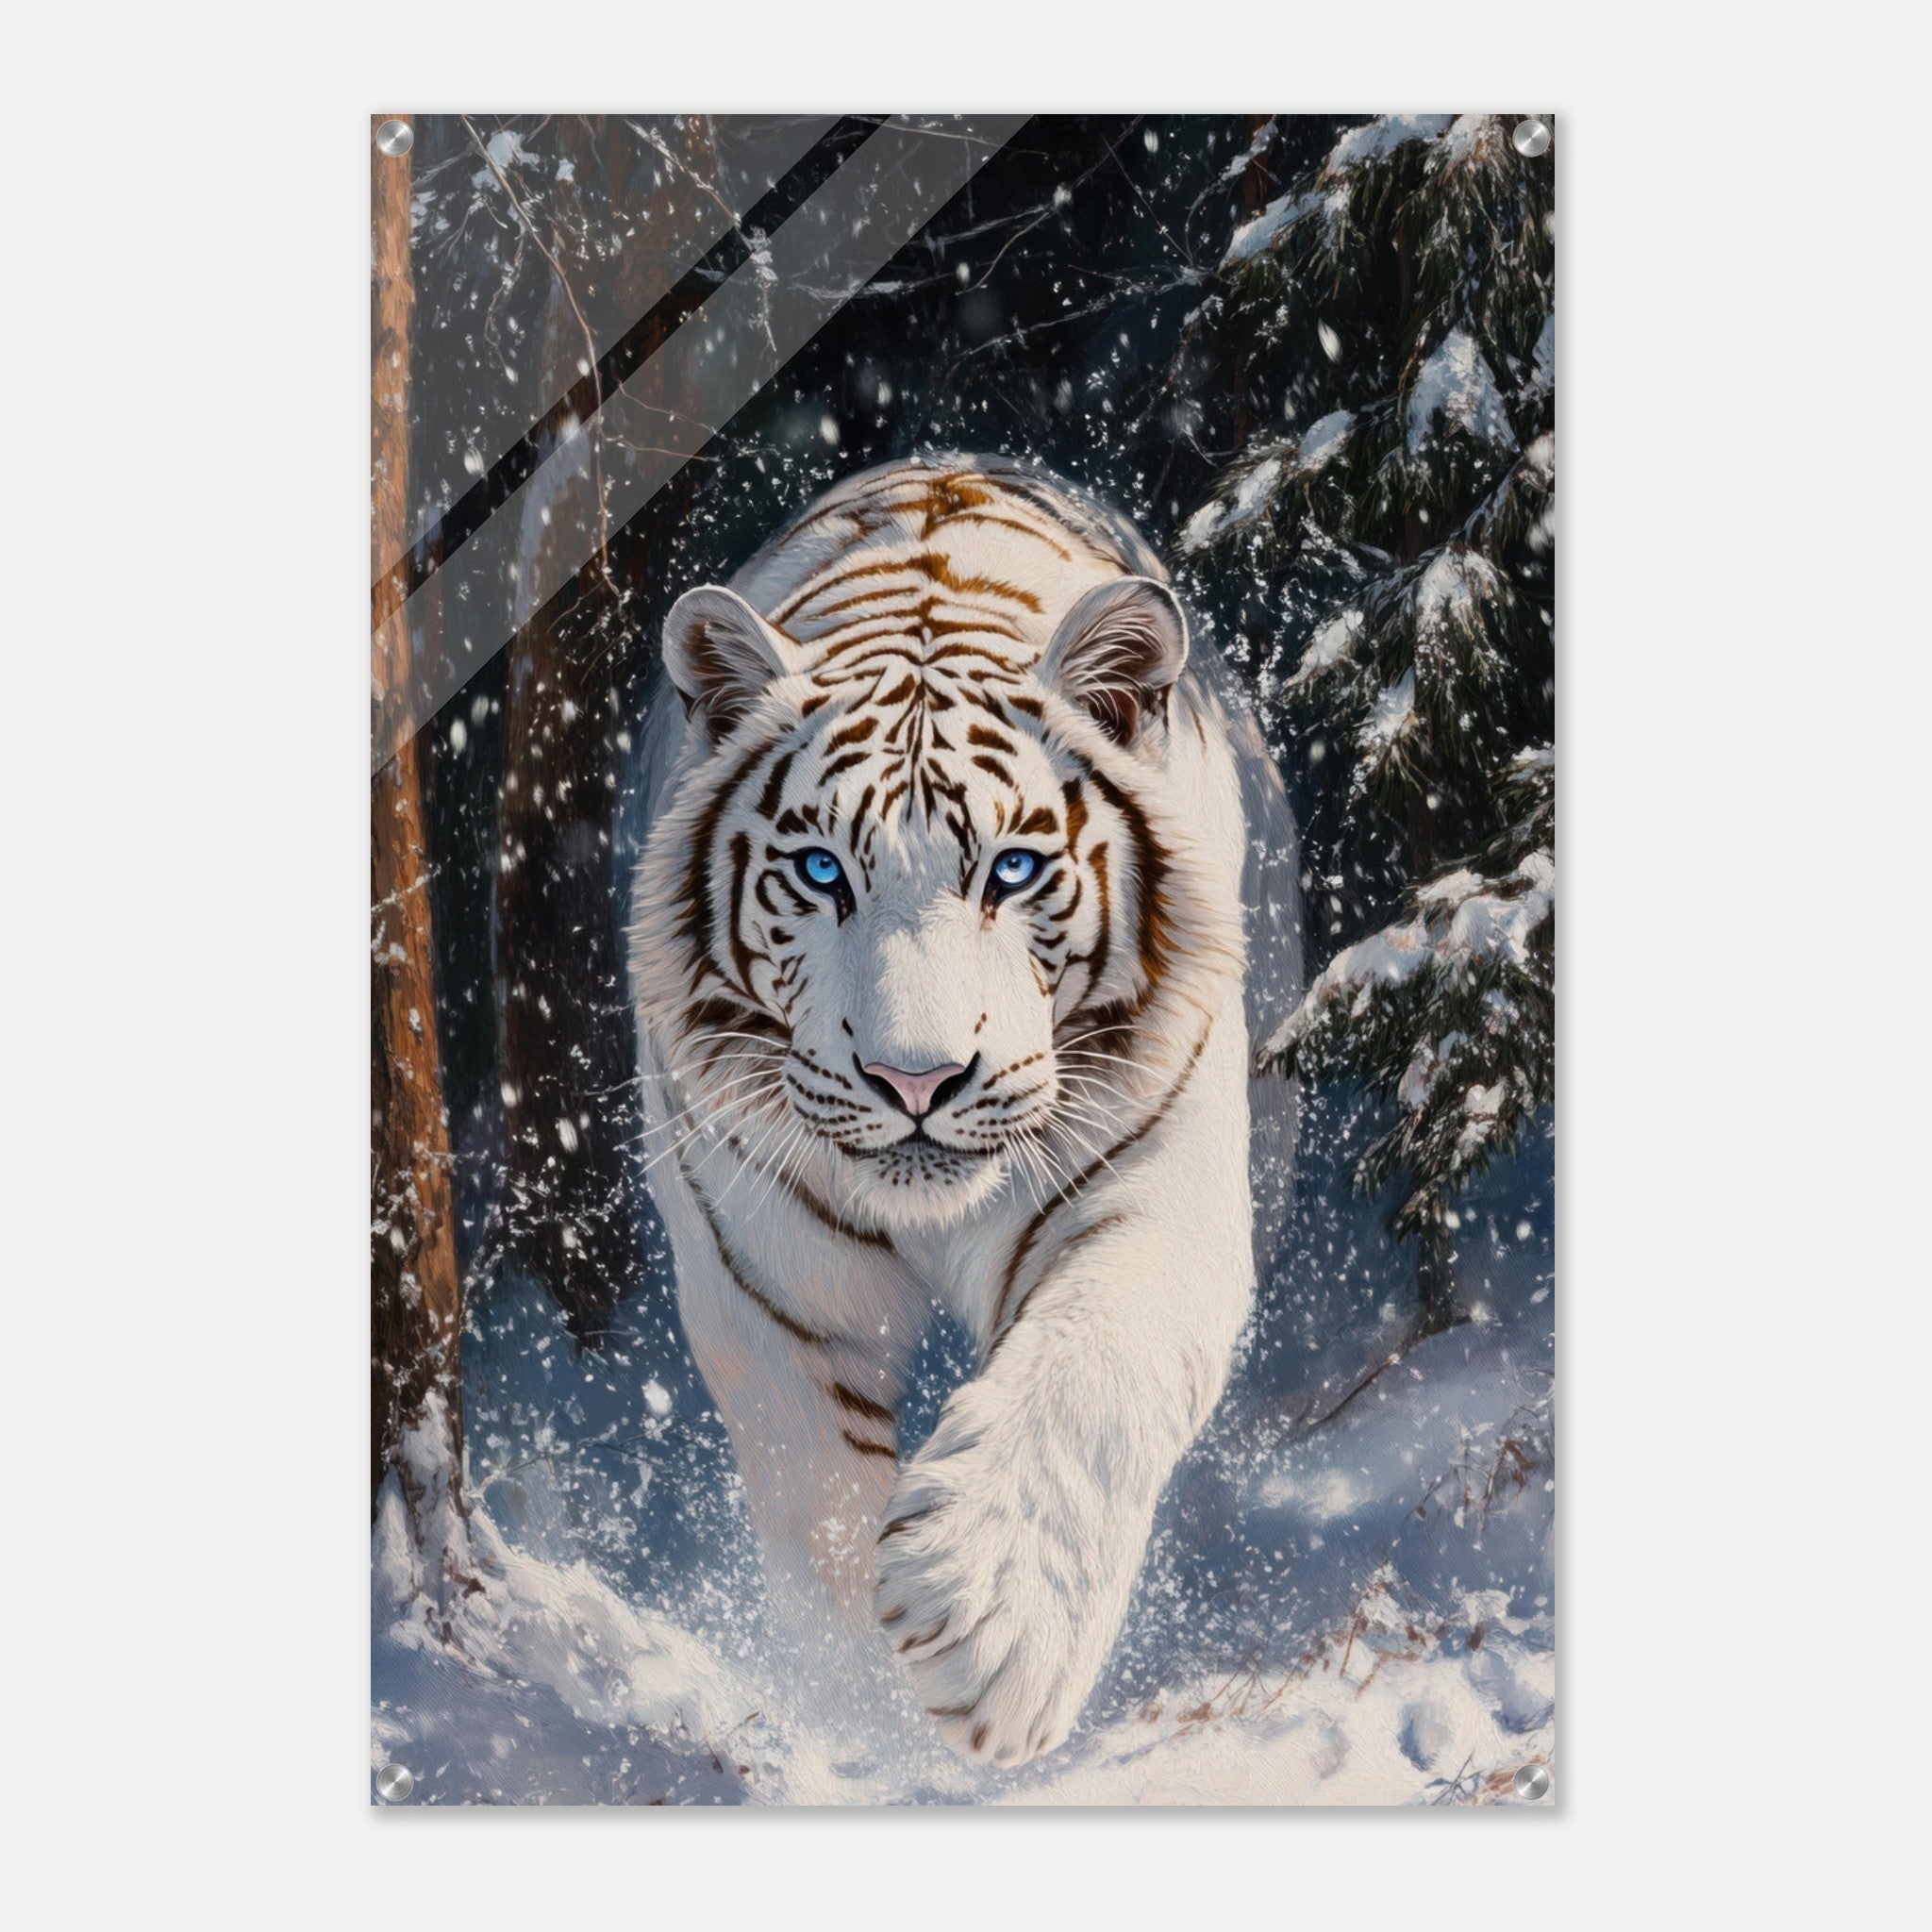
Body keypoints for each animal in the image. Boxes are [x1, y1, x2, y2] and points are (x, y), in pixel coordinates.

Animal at [627, 453, 1266, 1769]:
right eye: (820, 870)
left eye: (1010, 869)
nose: (914, 1080)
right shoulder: (762, 1277)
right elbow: (812, 1495)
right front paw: (867, 1708)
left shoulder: (1156, 1192)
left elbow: (1091, 1375)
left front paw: (989, 1625)